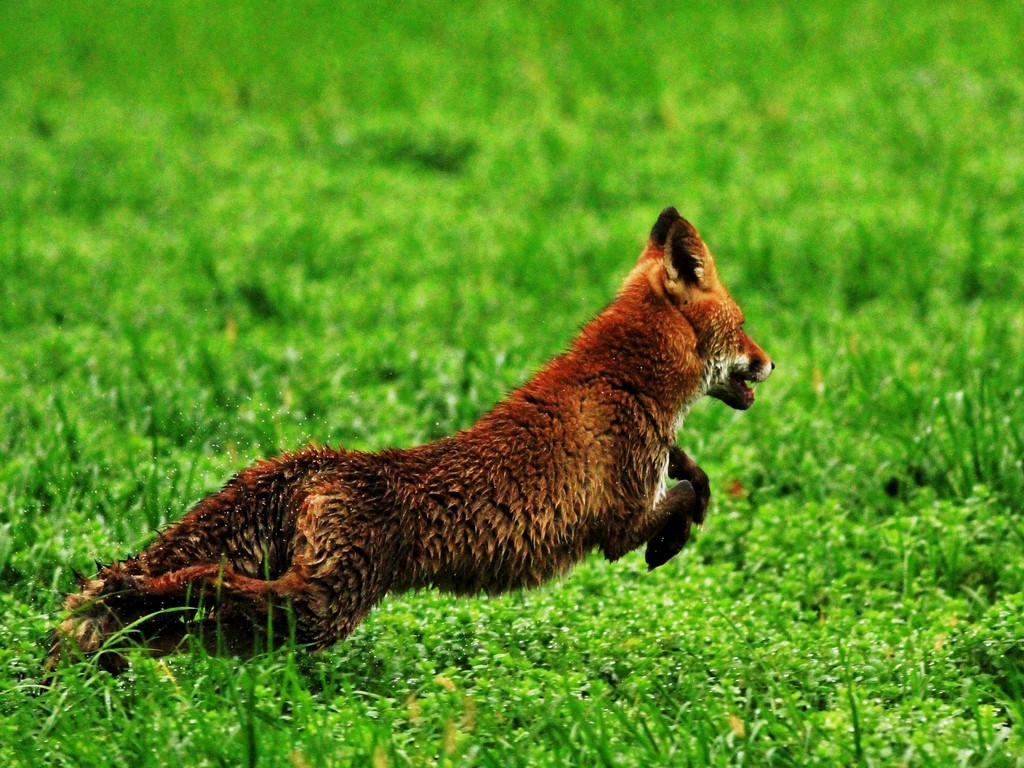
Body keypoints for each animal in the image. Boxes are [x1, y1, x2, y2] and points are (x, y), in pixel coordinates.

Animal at [44, 208, 770, 671]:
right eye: (743, 325)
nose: (770, 363)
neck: (628, 379)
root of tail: (323, 463)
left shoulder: (646, 473)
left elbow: (692, 475)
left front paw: (688, 504)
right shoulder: (615, 522)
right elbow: (680, 499)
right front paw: (673, 539)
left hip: (286, 612)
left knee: (191, 617)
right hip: (323, 607)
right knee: (201, 583)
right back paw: (133, 600)